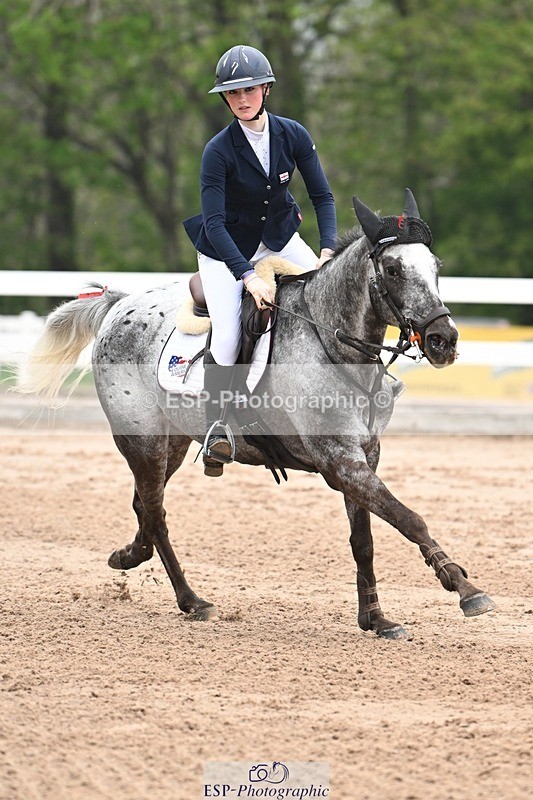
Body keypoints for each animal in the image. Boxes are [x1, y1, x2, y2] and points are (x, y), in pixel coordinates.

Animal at [19, 190, 494, 639]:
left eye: (435, 266)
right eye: (393, 270)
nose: (444, 340)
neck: (333, 344)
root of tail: (121, 303)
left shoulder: (364, 457)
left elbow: (364, 539)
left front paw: (376, 619)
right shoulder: (340, 461)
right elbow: (408, 518)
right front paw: (465, 589)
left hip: (173, 442)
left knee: (144, 505)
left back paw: (129, 556)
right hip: (142, 440)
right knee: (155, 514)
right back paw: (192, 601)